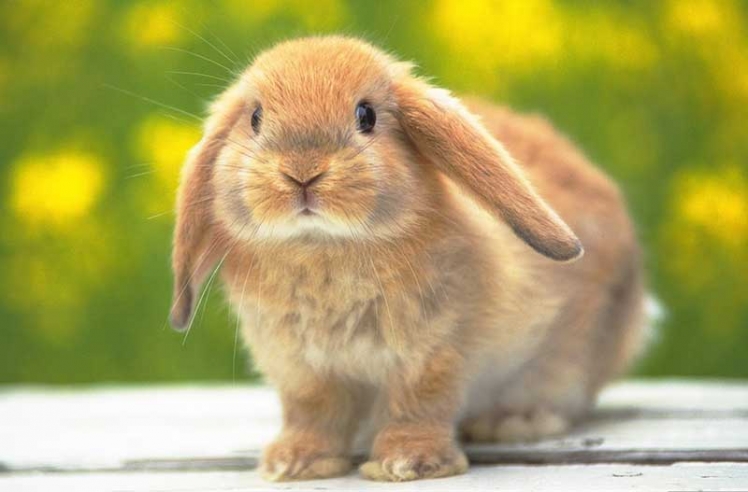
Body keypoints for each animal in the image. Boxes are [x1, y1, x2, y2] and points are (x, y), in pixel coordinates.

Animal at [169, 36, 648, 482]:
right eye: (255, 118)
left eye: (366, 116)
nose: (302, 171)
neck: (323, 246)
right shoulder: (300, 368)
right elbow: (312, 412)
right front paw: (294, 463)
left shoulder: (433, 352)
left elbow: (418, 405)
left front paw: (407, 463)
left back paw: (512, 421)